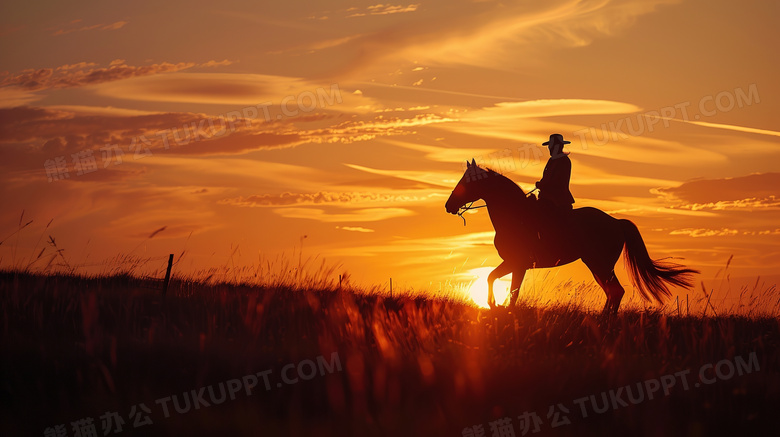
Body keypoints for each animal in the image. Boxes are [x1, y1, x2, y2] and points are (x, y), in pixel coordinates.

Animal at [442, 159, 696, 314]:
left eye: (465, 182)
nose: (448, 206)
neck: (514, 215)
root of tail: (616, 222)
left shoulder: (519, 263)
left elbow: (510, 289)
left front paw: (500, 308)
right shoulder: (513, 263)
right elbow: (493, 278)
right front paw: (495, 305)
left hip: (600, 264)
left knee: (616, 291)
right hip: (597, 265)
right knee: (613, 291)